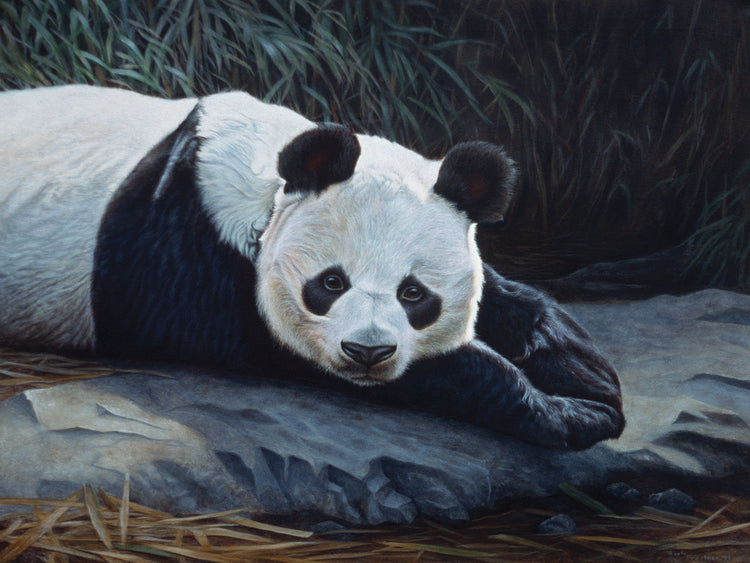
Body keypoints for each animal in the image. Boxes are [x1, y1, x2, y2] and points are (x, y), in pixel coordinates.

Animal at [0, 85, 624, 450]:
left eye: (415, 294)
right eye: (329, 283)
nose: (368, 352)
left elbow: (513, 301)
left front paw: (588, 381)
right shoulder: (183, 254)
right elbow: (286, 348)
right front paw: (567, 413)